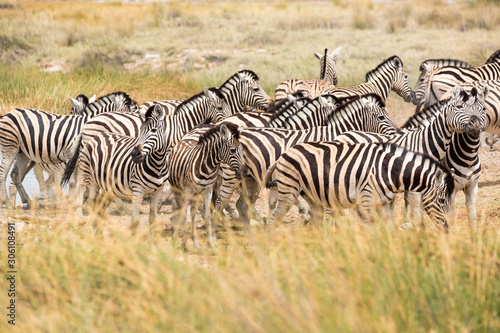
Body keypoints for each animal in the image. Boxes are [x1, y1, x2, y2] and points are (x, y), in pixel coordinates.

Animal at [0, 91, 137, 208]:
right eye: (130, 112)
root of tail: (9, 113)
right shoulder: (72, 158)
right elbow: (73, 183)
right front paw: (72, 202)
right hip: (10, 148)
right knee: (4, 174)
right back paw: (7, 202)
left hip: (24, 154)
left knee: (16, 175)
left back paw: (26, 201)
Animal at [167, 121, 247, 249]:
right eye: (233, 150)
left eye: (241, 149)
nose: (244, 172)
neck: (208, 166)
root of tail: (183, 140)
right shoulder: (188, 190)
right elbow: (184, 215)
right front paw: (178, 242)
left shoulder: (208, 190)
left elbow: (208, 216)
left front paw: (211, 244)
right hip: (177, 189)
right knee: (182, 211)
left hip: (195, 194)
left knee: (193, 214)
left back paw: (195, 242)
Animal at [213, 93, 400, 223]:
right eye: (381, 117)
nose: (397, 132)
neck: (332, 132)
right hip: (231, 175)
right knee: (220, 200)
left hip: (249, 178)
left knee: (240, 204)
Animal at [264, 140, 456, 228]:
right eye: (442, 201)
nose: (447, 229)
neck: (389, 170)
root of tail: (284, 154)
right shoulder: (366, 200)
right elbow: (370, 226)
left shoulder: (383, 203)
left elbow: (389, 227)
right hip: (289, 191)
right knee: (275, 218)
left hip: (312, 196)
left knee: (316, 222)